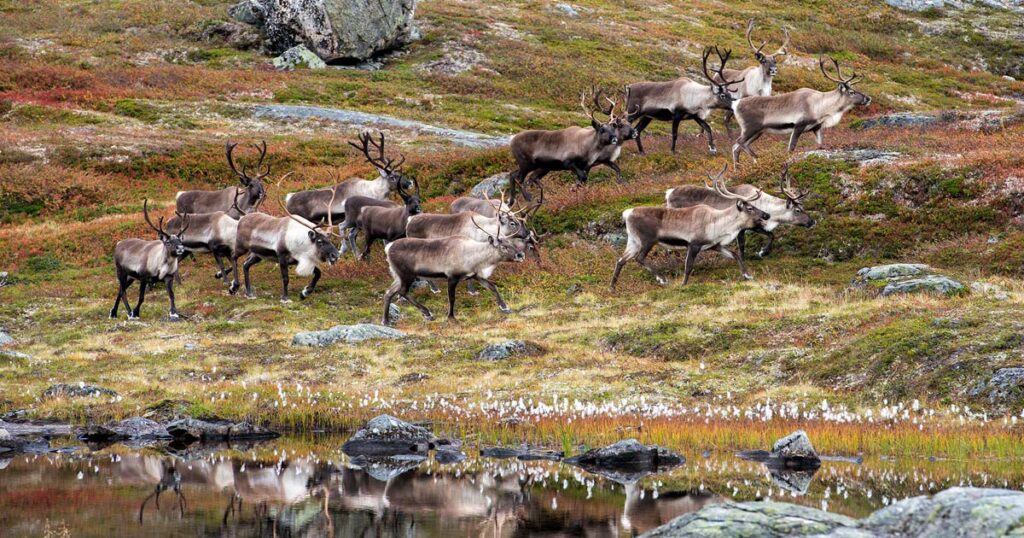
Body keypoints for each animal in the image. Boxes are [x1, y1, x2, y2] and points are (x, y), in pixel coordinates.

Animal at [382, 217, 528, 325]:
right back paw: (427, 313)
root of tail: (388, 248)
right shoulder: (452, 276)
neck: (473, 255)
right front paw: (451, 317)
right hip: (407, 274)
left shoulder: (474, 275)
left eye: (511, 243)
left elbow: (492, 286)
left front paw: (504, 306)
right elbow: (452, 297)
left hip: (398, 276)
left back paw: (386, 321)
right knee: (402, 291)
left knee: (389, 292)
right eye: (503, 247)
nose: (521, 255)